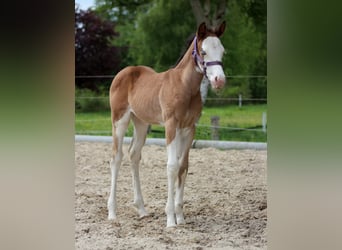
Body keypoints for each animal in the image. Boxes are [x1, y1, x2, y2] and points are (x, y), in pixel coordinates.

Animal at [105, 21, 226, 228]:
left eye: (222, 51)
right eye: (203, 52)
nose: (219, 81)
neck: (185, 87)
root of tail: (124, 72)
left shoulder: (188, 128)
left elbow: (183, 166)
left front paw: (181, 217)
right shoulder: (171, 125)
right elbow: (171, 167)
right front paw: (170, 219)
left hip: (141, 123)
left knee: (134, 155)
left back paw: (142, 210)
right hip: (120, 120)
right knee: (116, 158)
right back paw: (112, 213)